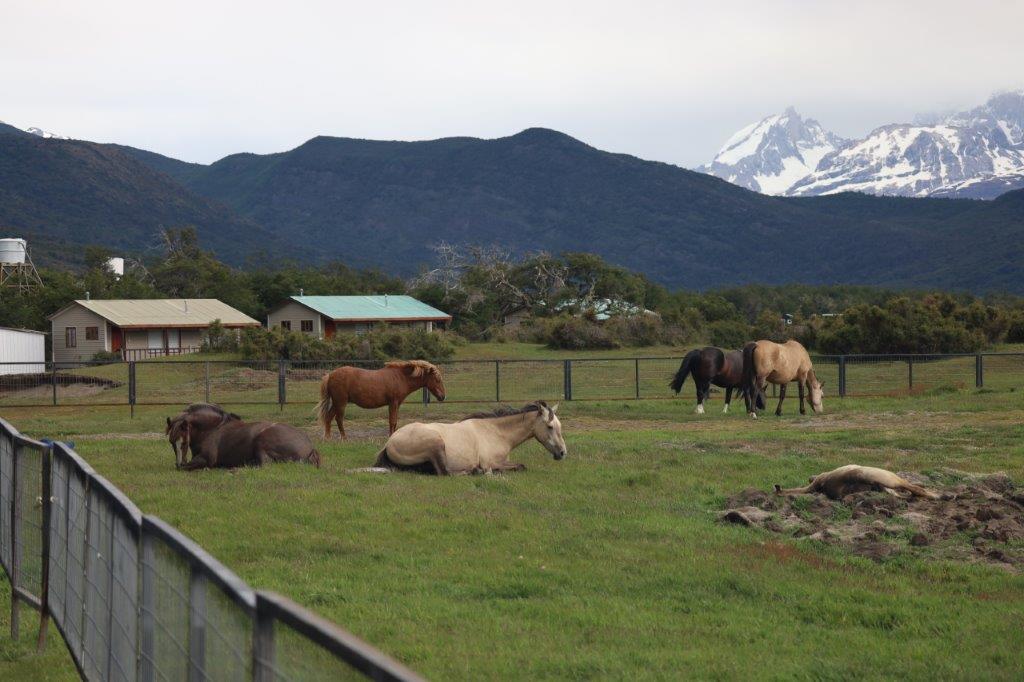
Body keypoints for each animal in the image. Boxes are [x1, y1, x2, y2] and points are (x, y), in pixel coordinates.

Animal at [164, 401, 319, 471]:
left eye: (183, 443)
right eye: (171, 443)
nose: (179, 462)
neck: (212, 429)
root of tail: (310, 447)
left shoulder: (206, 459)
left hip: (261, 443)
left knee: (264, 464)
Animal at [315, 358, 444, 438]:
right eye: (437, 379)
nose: (443, 396)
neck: (400, 377)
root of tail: (330, 375)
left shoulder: (396, 404)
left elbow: (394, 422)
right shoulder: (393, 403)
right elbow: (392, 421)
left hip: (336, 403)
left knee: (328, 418)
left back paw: (328, 438)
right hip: (341, 402)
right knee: (338, 419)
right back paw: (344, 439)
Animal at [372, 399, 569, 473]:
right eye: (550, 426)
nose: (562, 453)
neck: (496, 432)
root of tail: (389, 443)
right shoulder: (490, 462)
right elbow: (520, 466)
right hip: (436, 443)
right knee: (445, 473)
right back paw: (474, 471)